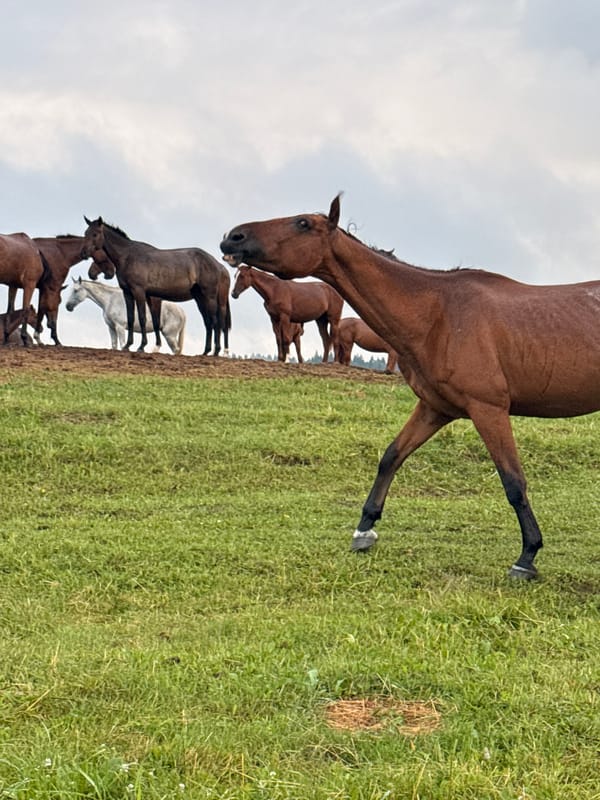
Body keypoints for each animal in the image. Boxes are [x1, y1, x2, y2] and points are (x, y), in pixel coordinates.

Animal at [81, 217, 231, 355]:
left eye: (95, 234)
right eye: (86, 232)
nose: (83, 253)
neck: (128, 256)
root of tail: (219, 266)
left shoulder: (139, 291)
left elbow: (142, 318)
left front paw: (141, 346)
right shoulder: (128, 293)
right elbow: (131, 318)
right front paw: (128, 345)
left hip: (210, 297)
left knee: (216, 322)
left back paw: (216, 351)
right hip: (200, 298)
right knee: (208, 322)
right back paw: (206, 351)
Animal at [220, 195, 600, 580]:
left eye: (303, 223)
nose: (233, 237)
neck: (437, 313)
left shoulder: (488, 409)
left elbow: (513, 482)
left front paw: (527, 555)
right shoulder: (434, 409)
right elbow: (391, 457)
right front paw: (364, 529)